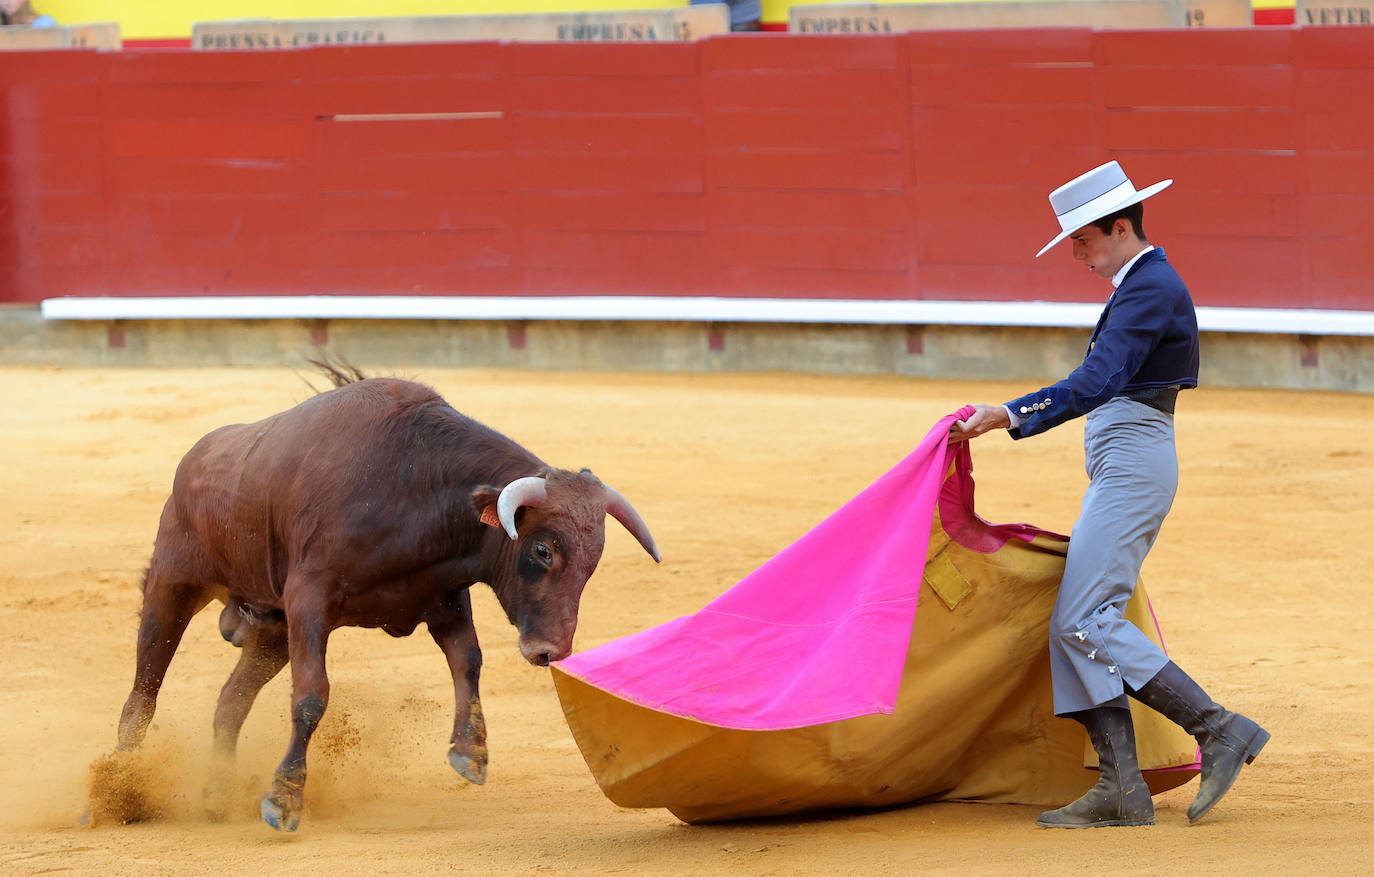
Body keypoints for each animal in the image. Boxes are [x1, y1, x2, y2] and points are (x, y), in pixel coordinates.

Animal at [112, 368, 659, 830]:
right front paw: (284, 800)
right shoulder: (308, 600)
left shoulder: (441, 597)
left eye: (594, 559)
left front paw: (471, 753)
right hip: (175, 581)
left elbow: (468, 659)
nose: (551, 651)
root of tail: (194, 460)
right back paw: (120, 791)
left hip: (270, 627)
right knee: (144, 690)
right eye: (543, 550)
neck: (415, 483)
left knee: (230, 701)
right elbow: (311, 696)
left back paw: (216, 794)